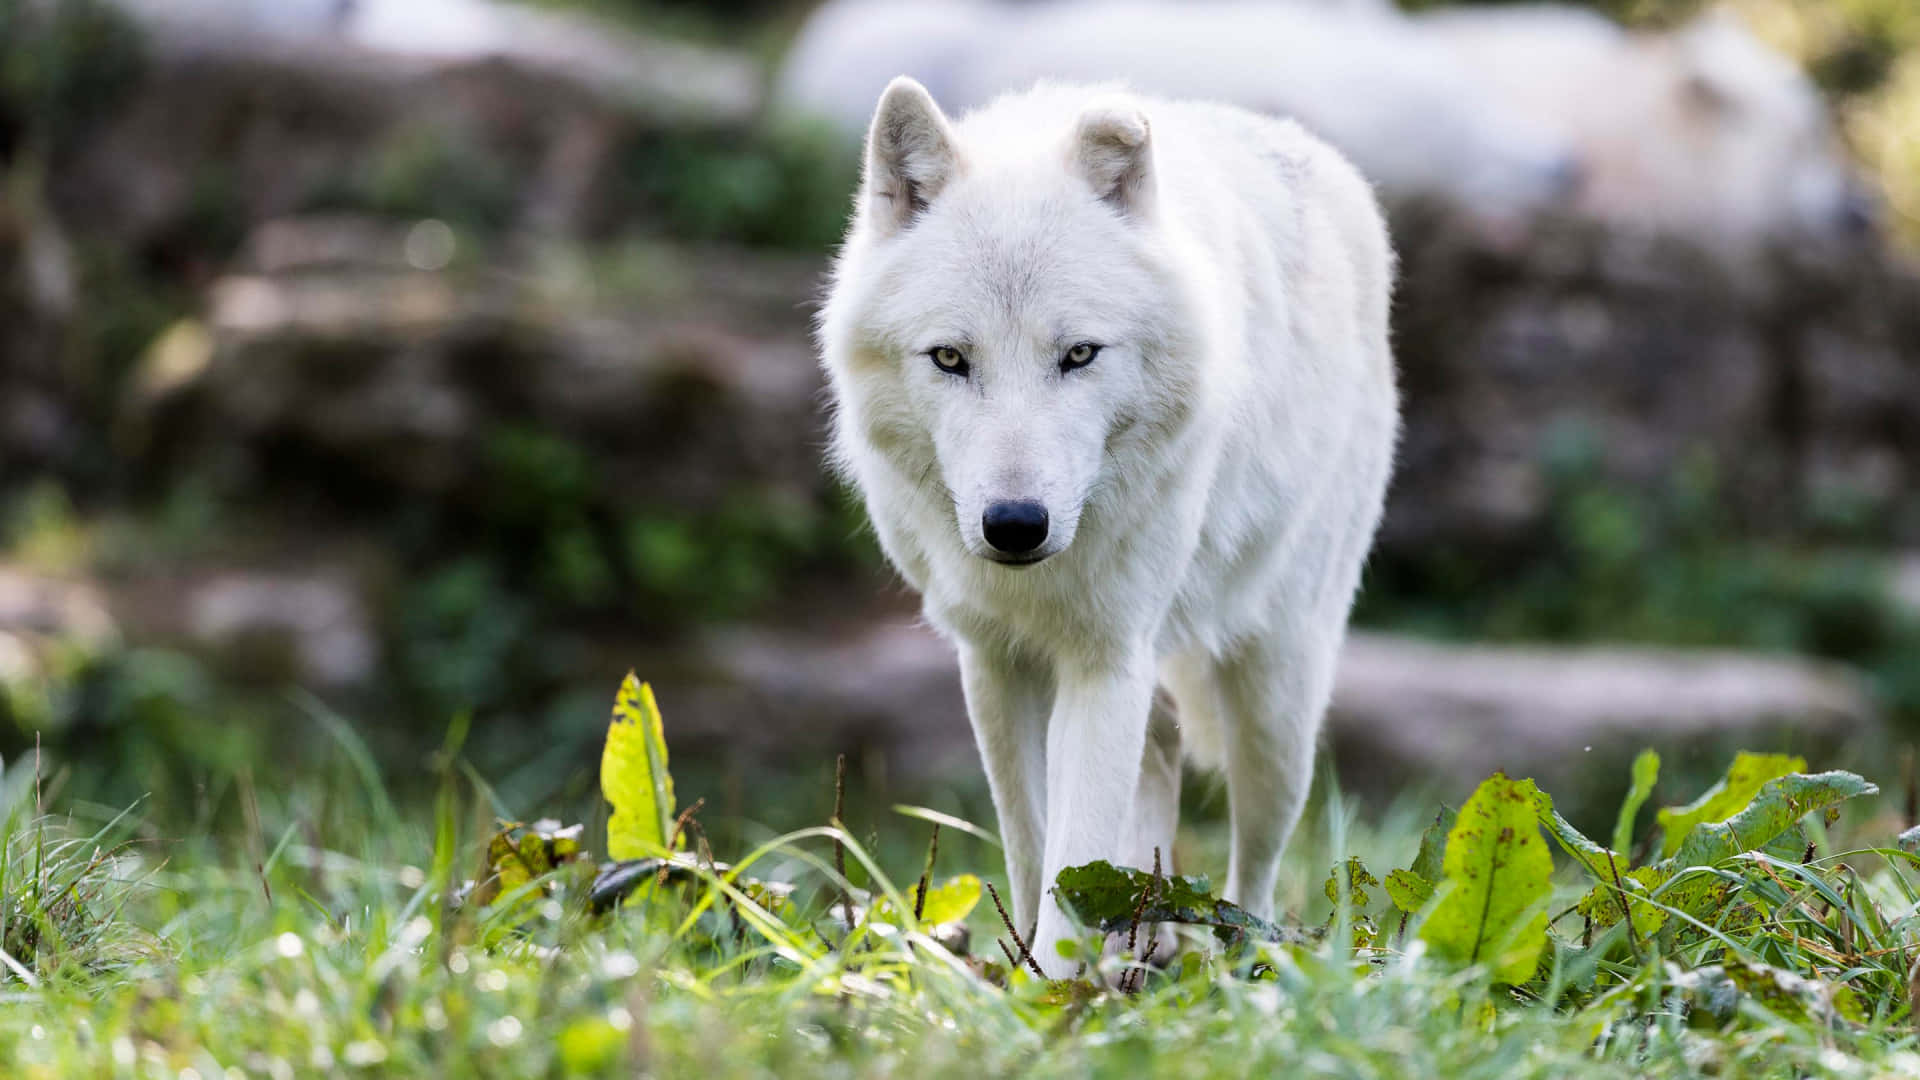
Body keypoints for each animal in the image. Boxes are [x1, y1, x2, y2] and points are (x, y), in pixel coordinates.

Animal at [817, 78, 1399, 975]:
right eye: (950, 358)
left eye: (1080, 354)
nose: (1014, 526)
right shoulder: (995, 660)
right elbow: (1032, 850)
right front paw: (1028, 973)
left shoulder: (1107, 659)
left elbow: (1072, 852)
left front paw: (1053, 991)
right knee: (1157, 770)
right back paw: (1141, 941)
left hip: (1277, 701)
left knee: (1258, 862)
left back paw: (1238, 964)